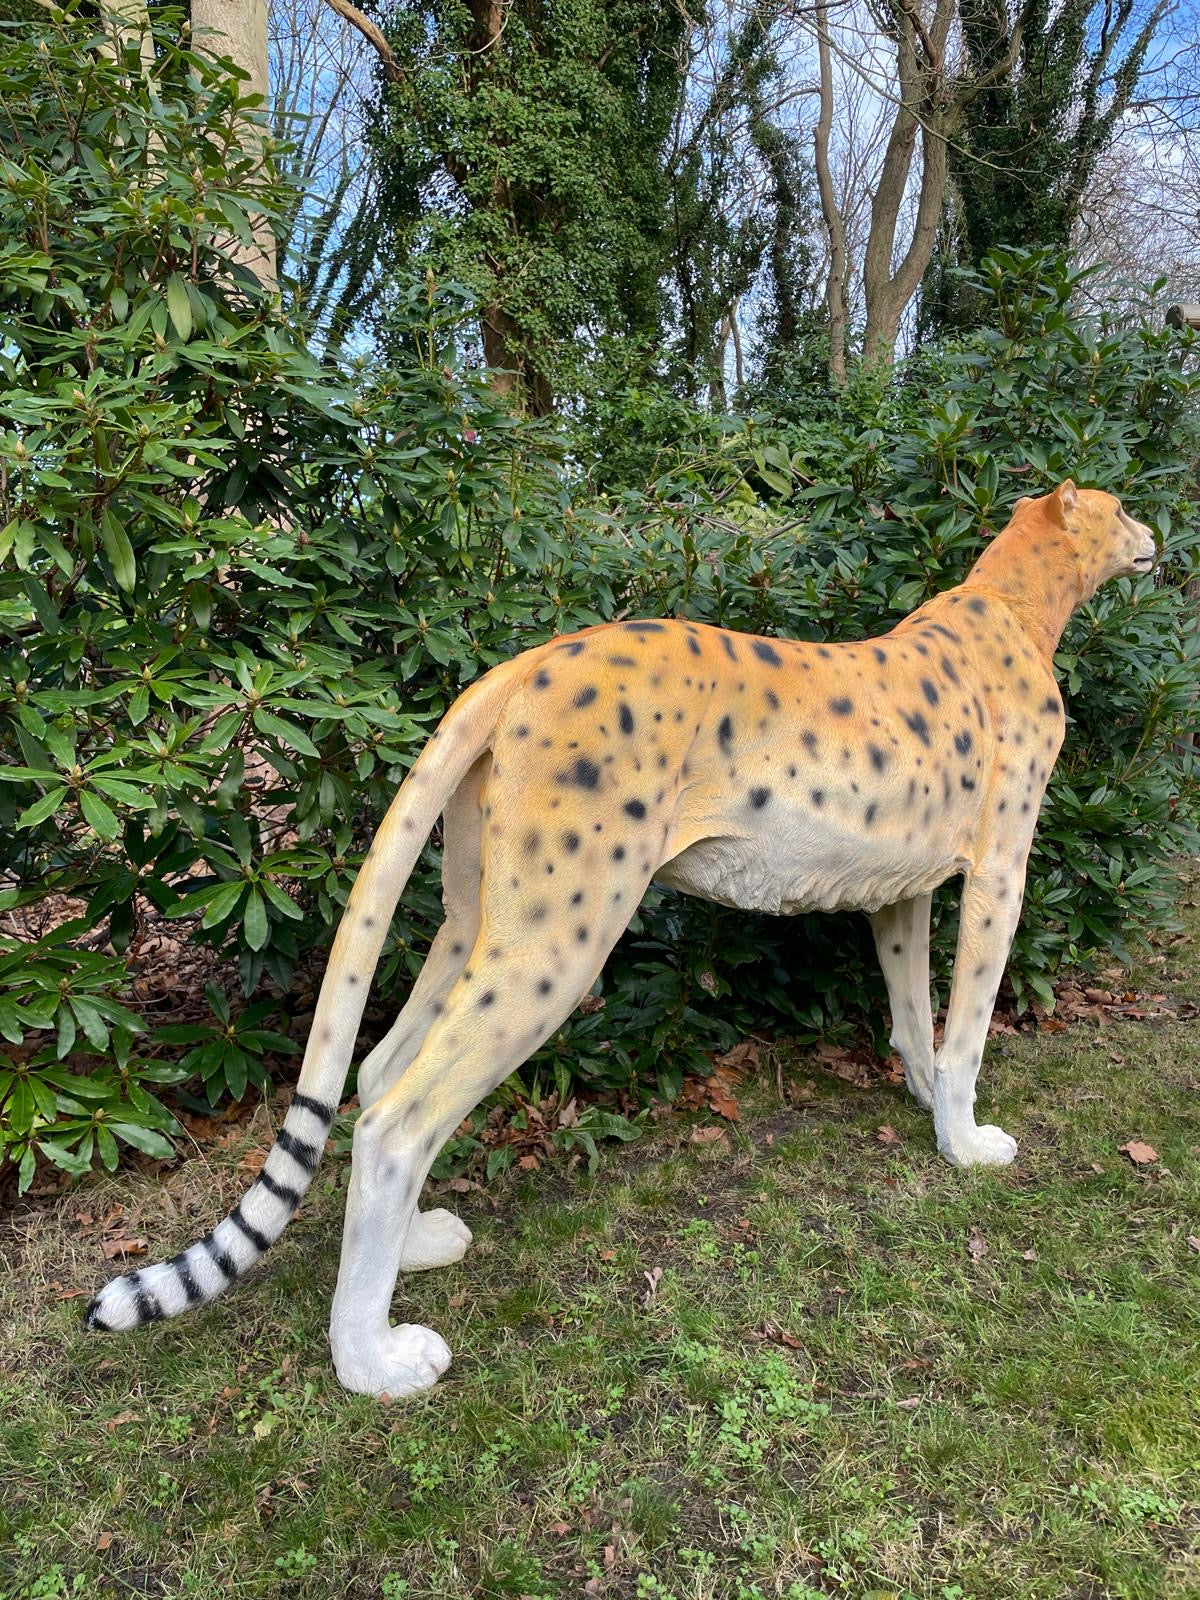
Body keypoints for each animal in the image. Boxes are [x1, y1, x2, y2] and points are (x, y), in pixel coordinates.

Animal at [85, 481, 1157, 1397]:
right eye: (1119, 509)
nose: (1155, 535)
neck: (1014, 600)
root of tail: (527, 658)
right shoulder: (997, 875)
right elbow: (966, 1028)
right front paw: (967, 1144)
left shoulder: (900, 891)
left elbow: (912, 1017)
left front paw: (931, 1107)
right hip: (561, 937)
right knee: (402, 1116)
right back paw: (371, 1360)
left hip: (481, 919)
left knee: (384, 1072)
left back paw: (414, 1248)